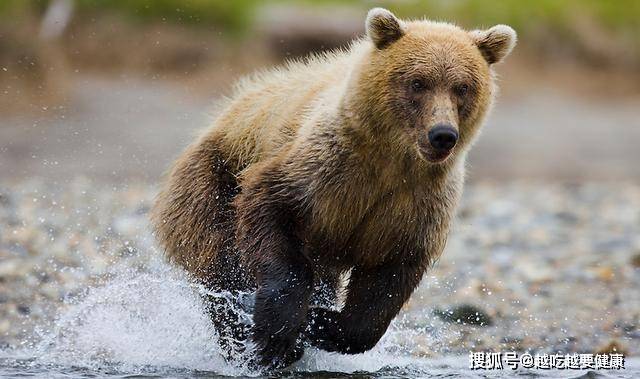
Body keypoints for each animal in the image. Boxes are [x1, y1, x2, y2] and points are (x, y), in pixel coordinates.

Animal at [152, 8, 516, 372]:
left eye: (462, 87)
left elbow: (387, 282)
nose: (442, 134)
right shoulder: (322, 168)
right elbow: (269, 206)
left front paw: (320, 325)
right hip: (211, 182)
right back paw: (240, 336)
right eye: (417, 82)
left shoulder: (416, 202)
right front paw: (277, 333)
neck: (392, 159)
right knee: (222, 263)